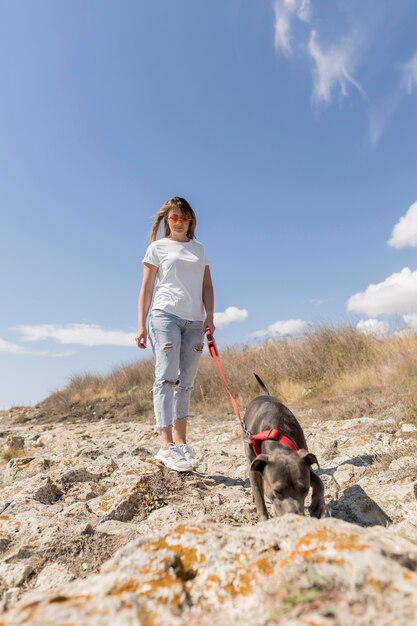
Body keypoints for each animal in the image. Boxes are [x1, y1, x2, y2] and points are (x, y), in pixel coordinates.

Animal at [244, 372, 324, 520]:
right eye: (278, 491)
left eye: (305, 489)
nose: (296, 517)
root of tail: (263, 394)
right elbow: (259, 497)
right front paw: (264, 519)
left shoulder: (305, 462)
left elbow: (319, 480)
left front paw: (318, 505)